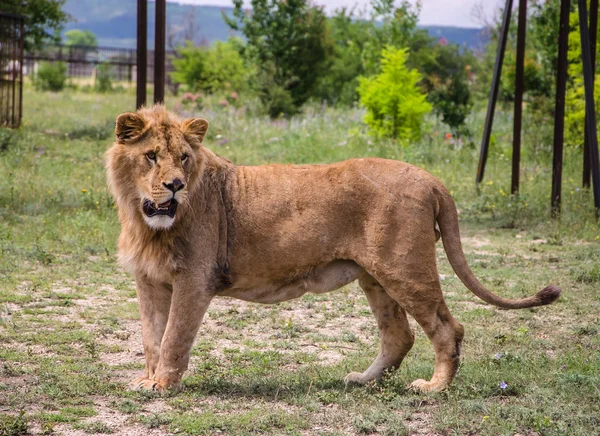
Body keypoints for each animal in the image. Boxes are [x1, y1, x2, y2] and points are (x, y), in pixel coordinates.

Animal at [105, 106, 560, 396]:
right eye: (151, 156)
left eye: (184, 157)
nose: (175, 185)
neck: (146, 220)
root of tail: (431, 179)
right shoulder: (149, 280)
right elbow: (151, 336)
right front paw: (147, 380)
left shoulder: (195, 279)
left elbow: (173, 338)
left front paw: (163, 386)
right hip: (375, 277)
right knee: (399, 335)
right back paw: (363, 380)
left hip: (406, 269)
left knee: (448, 328)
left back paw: (434, 388)